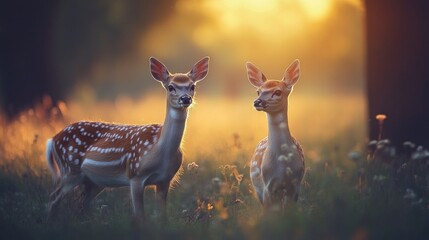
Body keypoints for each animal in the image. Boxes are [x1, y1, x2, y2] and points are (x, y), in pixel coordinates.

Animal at [45, 56, 209, 221]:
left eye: (192, 86)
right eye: (170, 87)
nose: (185, 99)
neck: (159, 150)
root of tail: (53, 139)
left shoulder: (165, 180)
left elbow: (162, 216)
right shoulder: (135, 175)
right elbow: (139, 216)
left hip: (93, 181)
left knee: (80, 204)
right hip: (70, 169)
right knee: (53, 197)